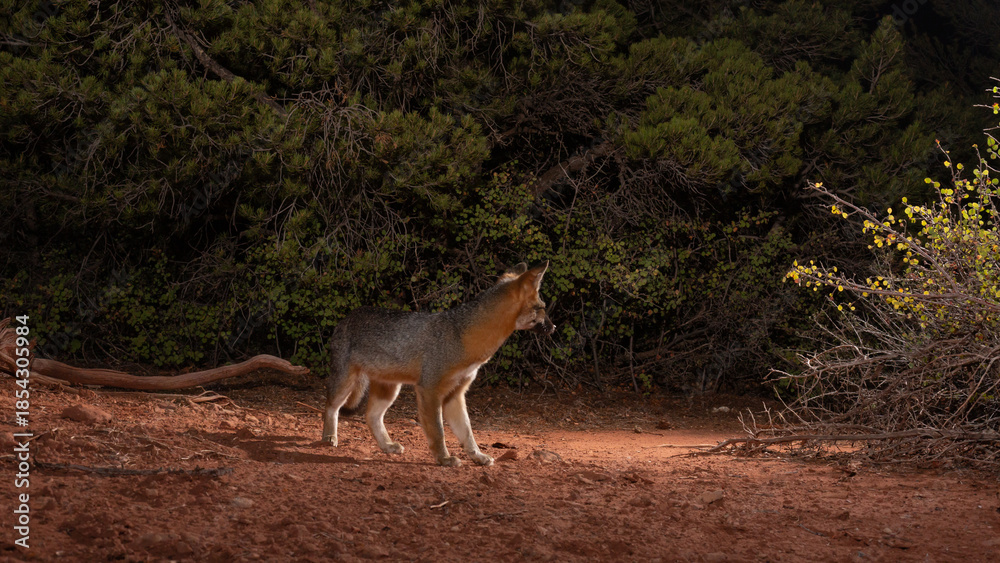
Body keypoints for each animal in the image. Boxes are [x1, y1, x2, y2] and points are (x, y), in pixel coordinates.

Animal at [321, 261, 555, 467]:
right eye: (541, 308)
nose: (553, 327)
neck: (465, 337)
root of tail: (348, 316)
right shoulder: (429, 389)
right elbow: (438, 431)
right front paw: (444, 459)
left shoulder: (456, 393)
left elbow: (467, 433)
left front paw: (477, 456)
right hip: (345, 384)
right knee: (331, 406)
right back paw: (329, 437)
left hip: (390, 390)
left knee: (371, 417)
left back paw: (386, 445)